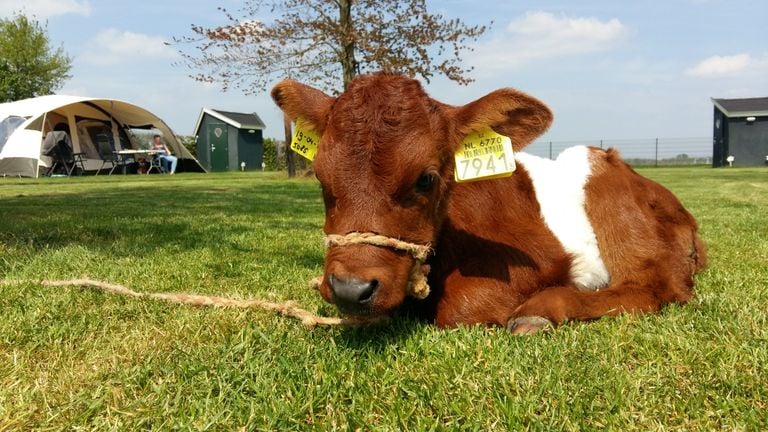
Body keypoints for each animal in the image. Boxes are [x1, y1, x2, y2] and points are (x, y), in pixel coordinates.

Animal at [272, 73, 708, 334]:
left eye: (426, 178)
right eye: (320, 176)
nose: (350, 289)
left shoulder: (538, 258)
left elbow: (461, 308)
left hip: (613, 200)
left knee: (654, 288)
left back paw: (541, 309)